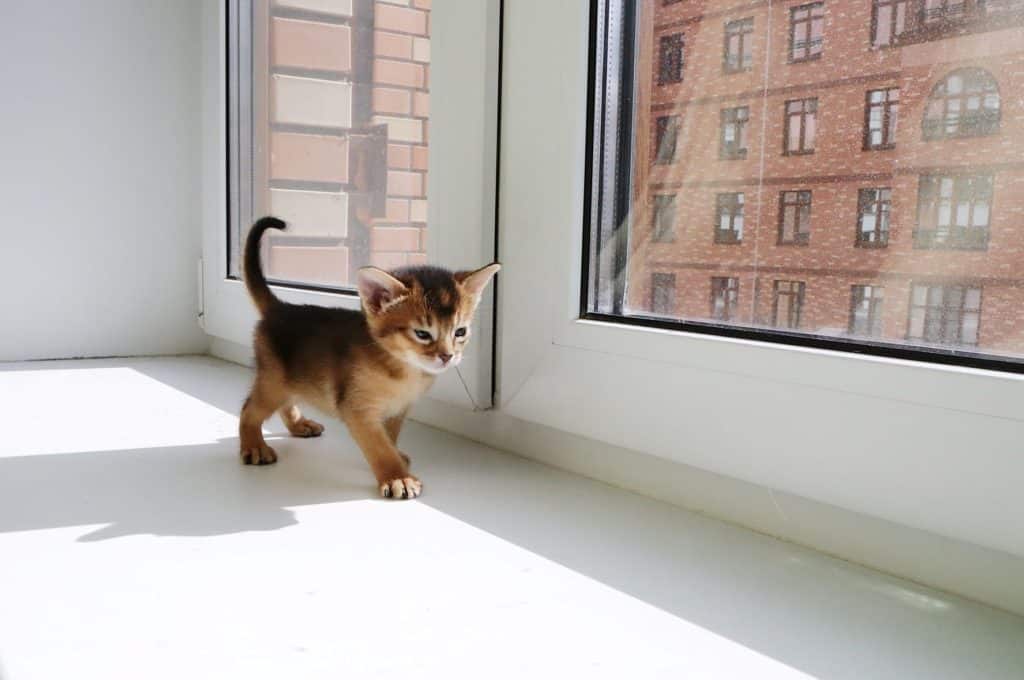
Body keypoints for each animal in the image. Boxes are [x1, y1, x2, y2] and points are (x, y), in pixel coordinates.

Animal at [236, 218, 499, 499]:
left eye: (460, 332)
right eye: (422, 334)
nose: (448, 356)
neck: (404, 372)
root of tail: (281, 308)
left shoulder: (398, 409)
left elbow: (389, 437)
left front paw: (397, 458)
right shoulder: (358, 410)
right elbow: (379, 446)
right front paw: (398, 477)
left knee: (286, 401)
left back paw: (299, 425)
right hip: (273, 380)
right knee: (249, 409)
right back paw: (254, 447)